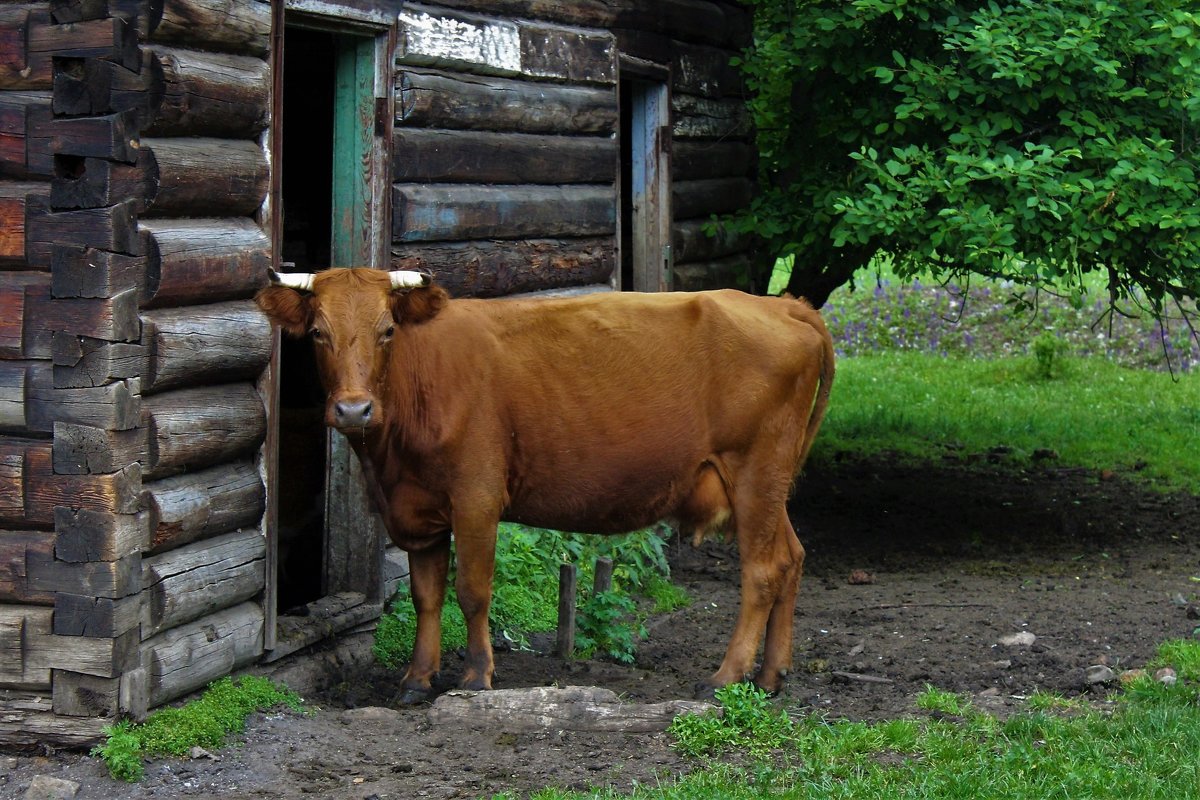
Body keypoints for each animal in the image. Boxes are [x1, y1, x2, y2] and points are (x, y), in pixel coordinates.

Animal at [256, 267, 830, 700]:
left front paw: (476, 676)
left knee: (763, 571)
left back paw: (727, 676)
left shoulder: (476, 497)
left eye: (387, 331)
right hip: (767, 486)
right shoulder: (417, 512)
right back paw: (771, 675)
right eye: (317, 333)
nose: (354, 409)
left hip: (755, 472)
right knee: (792, 557)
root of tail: (782, 305)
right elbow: (426, 596)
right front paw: (417, 680)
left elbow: (473, 591)